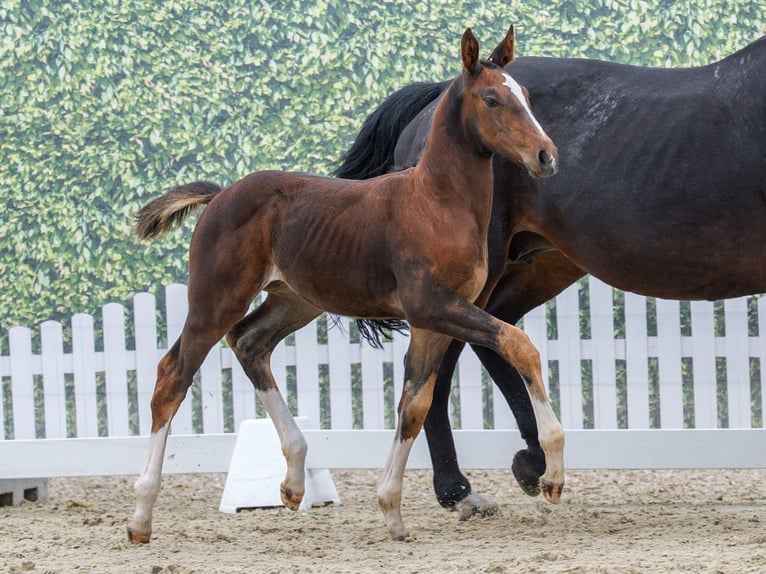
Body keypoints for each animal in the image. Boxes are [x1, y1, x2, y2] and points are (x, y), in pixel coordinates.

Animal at [127, 26, 563, 542]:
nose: (546, 156)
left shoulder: (432, 322)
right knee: (172, 376)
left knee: (250, 342)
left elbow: (414, 405)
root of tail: (218, 197)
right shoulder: (433, 307)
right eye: (493, 99)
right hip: (216, 301)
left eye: (527, 97)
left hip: (296, 301)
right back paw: (141, 515)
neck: (436, 202)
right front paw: (552, 474)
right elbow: (520, 346)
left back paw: (294, 481)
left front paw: (391, 511)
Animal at [335, 34, 766, 518]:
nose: (547, 157)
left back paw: (530, 461)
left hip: (541, 264)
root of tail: (435, 98)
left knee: (492, 337)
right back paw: (460, 488)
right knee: (442, 364)